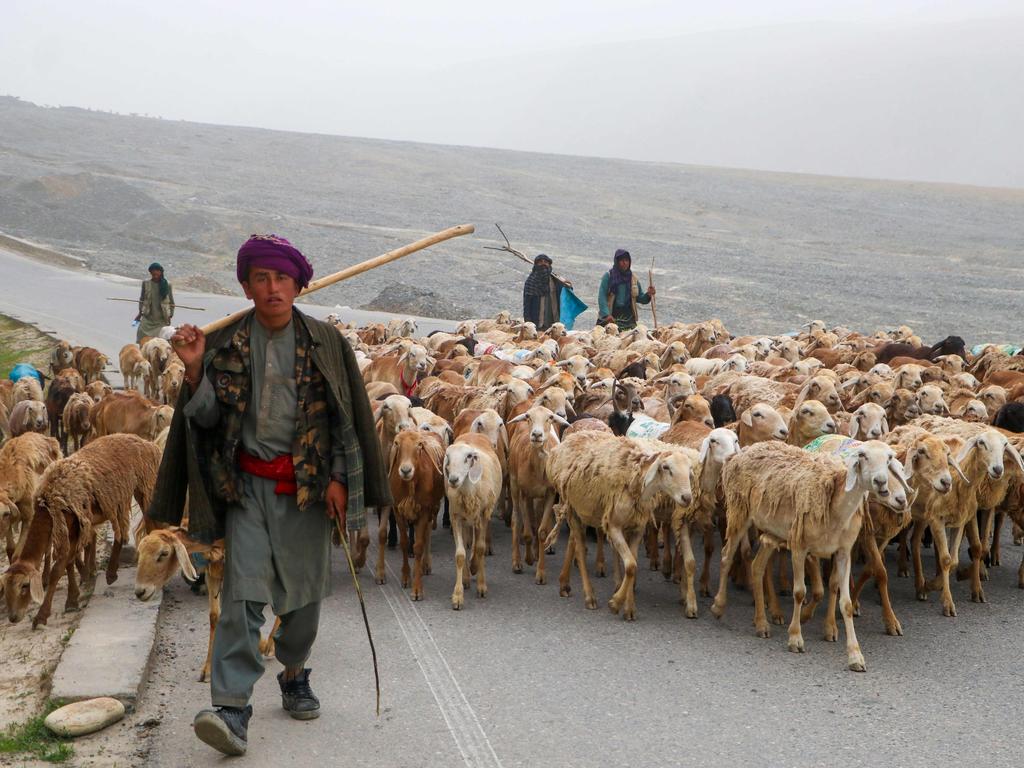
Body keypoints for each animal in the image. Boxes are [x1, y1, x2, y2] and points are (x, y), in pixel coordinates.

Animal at [444, 436, 503, 610]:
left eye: (468, 457)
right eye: (448, 457)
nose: (453, 480)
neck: (468, 490)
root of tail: (473, 435)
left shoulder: (482, 515)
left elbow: (481, 548)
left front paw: (482, 586)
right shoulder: (455, 517)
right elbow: (460, 554)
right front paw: (458, 596)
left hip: (481, 516)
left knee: (477, 543)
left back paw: (475, 566)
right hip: (465, 520)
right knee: (467, 541)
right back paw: (466, 576)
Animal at [544, 436, 696, 622]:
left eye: (689, 471)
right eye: (666, 467)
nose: (687, 498)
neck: (636, 478)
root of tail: (564, 443)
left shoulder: (637, 528)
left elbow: (633, 564)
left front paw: (629, 608)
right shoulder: (613, 525)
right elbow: (630, 565)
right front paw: (615, 603)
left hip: (582, 511)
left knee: (573, 542)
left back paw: (564, 584)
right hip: (573, 509)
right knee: (579, 550)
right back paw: (589, 597)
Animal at [708, 442, 909, 671]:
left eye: (889, 458)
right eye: (862, 455)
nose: (880, 482)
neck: (836, 503)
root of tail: (745, 450)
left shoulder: (843, 552)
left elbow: (846, 603)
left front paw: (855, 656)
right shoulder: (799, 546)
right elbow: (799, 592)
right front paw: (795, 638)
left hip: (771, 531)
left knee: (757, 567)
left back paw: (761, 624)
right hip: (739, 512)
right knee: (726, 557)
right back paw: (718, 606)